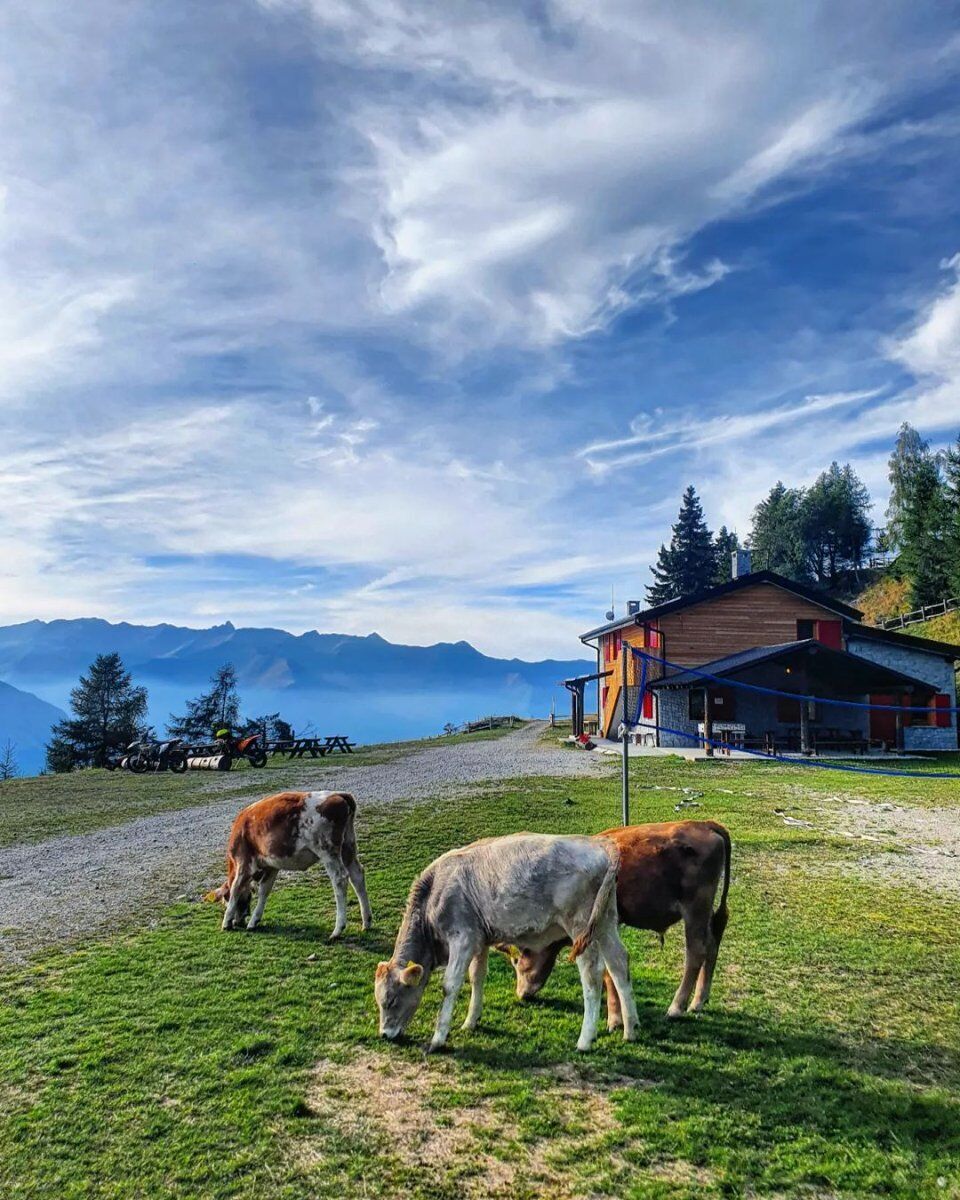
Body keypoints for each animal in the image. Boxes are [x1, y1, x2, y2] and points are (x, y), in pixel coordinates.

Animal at [207, 792, 372, 940]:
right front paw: (254, 920)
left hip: (328, 851)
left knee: (340, 879)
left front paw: (226, 922)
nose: (238, 922)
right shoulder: (272, 866)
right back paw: (367, 921)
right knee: (357, 875)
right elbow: (264, 891)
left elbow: (236, 888)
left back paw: (338, 929)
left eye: (225, 899)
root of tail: (339, 794)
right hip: (348, 846)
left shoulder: (244, 863)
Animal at [374, 835, 638, 1051]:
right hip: (605, 923)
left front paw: (438, 1039)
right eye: (379, 1001)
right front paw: (470, 1021)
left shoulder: (462, 938)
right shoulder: (480, 939)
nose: (384, 1034)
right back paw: (631, 1029)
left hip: (580, 928)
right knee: (618, 964)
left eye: (391, 1000)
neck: (433, 893)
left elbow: (450, 985)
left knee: (592, 976)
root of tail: (599, 846)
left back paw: (585, 1040)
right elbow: (476, 977)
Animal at [501, 820, 729, 1027]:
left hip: (695, 910)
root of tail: (703, 824)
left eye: (516, 961)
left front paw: (615, 1018)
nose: (521, 993)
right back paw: (699, 1001)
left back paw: (677, 1007)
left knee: (696, 952)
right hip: (705, 912)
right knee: (713, 941)